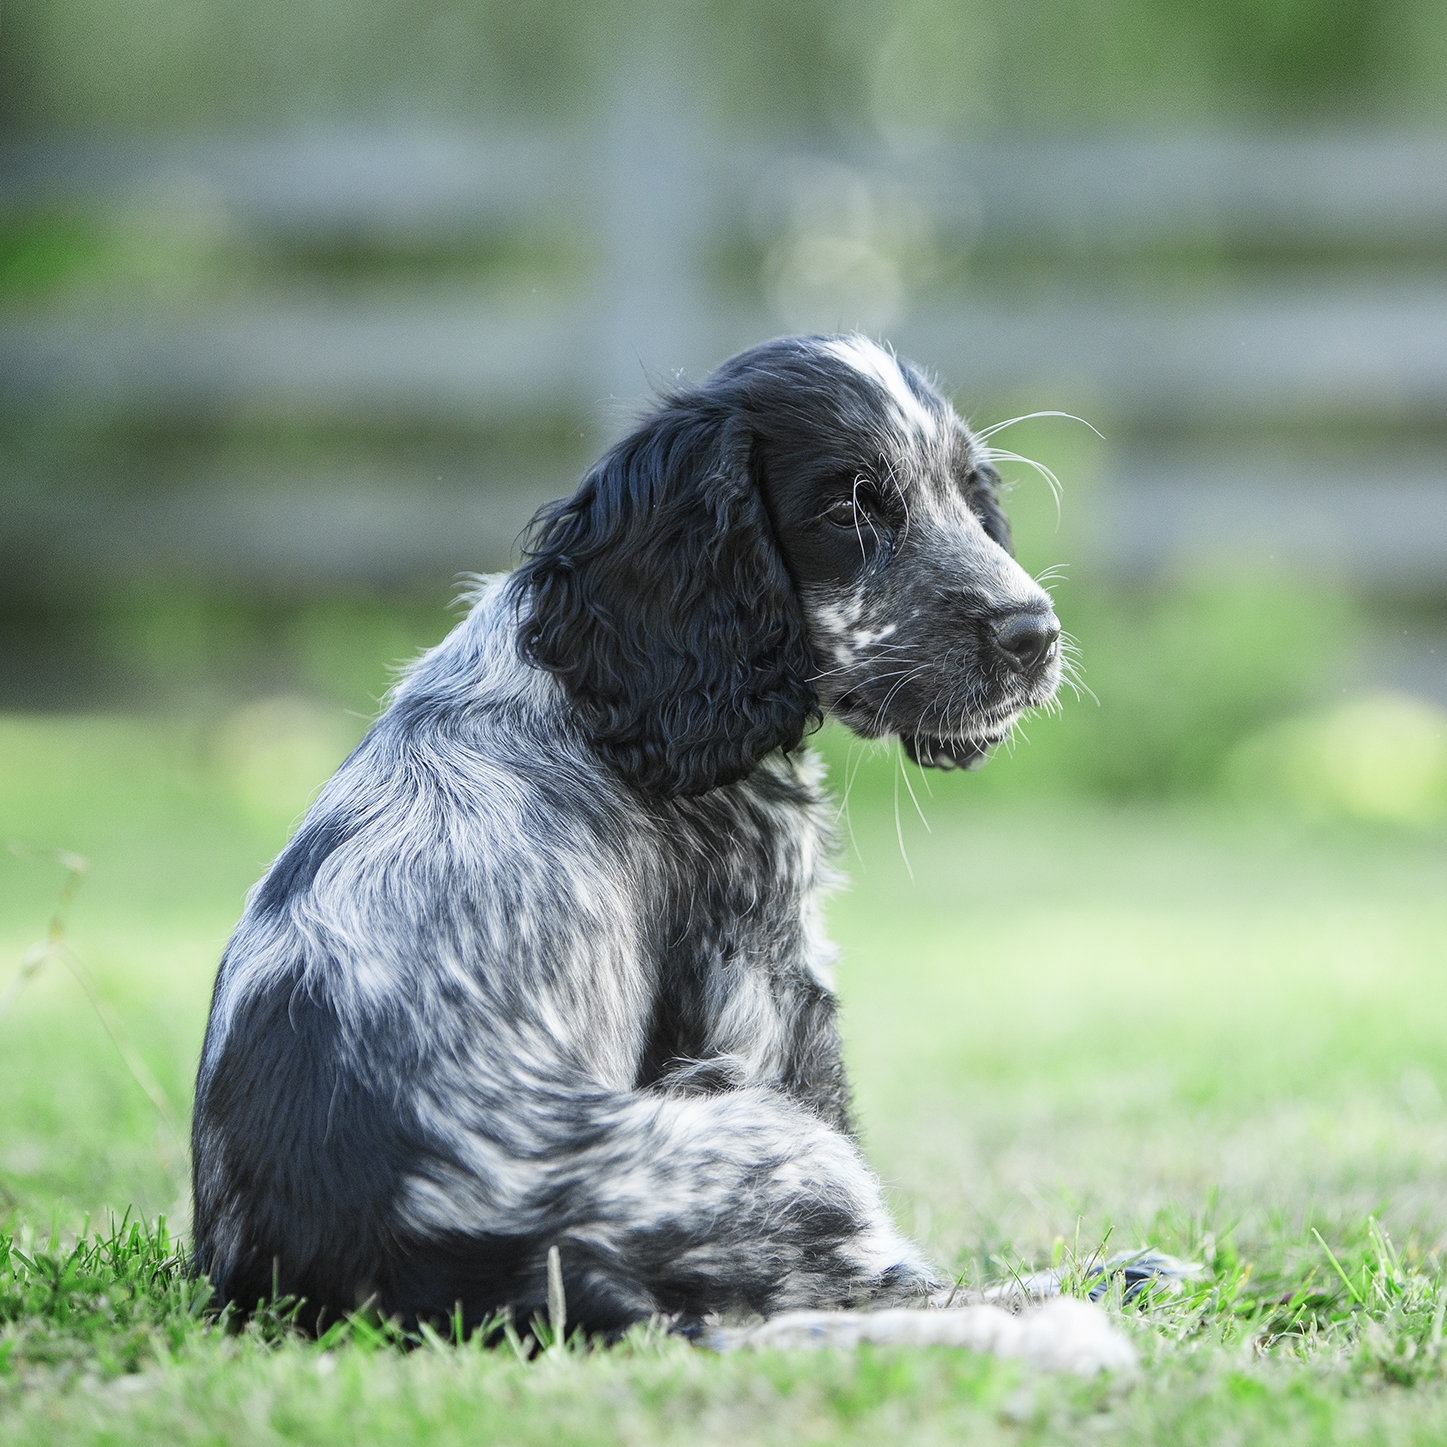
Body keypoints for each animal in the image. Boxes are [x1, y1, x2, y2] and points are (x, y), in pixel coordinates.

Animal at [189, 331, 1064, 1331]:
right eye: (848, 507)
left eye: (968, 489)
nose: (1034, 632)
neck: (601, 679)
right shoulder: (765, 984)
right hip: (771, 1148)